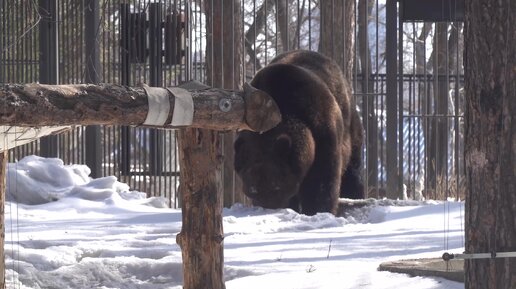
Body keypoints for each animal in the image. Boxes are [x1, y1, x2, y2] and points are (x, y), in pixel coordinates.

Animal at [234, 50, 362, 215]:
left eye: (277, 186)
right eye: (253, 189)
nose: (269, 208)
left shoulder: (321, 125)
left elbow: (322, 177)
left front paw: (318, 209)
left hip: (351, 128)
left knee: (353, 168)